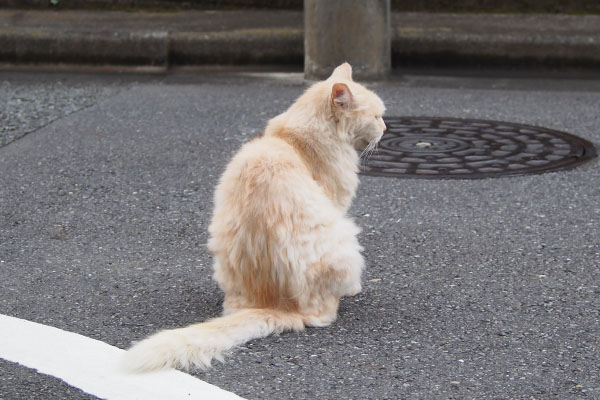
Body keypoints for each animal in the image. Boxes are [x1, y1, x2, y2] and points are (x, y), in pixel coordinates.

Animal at [122, 62, 386, 372]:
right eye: (377, 116)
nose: (386, 128)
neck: (292, 138)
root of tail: (274, 304)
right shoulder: (338, 202)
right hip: (346, 236)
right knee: (323, 314)